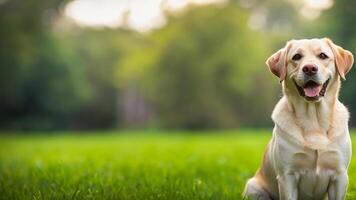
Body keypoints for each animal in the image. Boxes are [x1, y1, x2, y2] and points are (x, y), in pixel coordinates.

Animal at [245, 38, 354, 200]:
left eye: (323, 55)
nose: (309, 68)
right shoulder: (287, 177)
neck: (314, 120)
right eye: (296, 57)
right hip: (253, 188)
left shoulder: (339, 176)